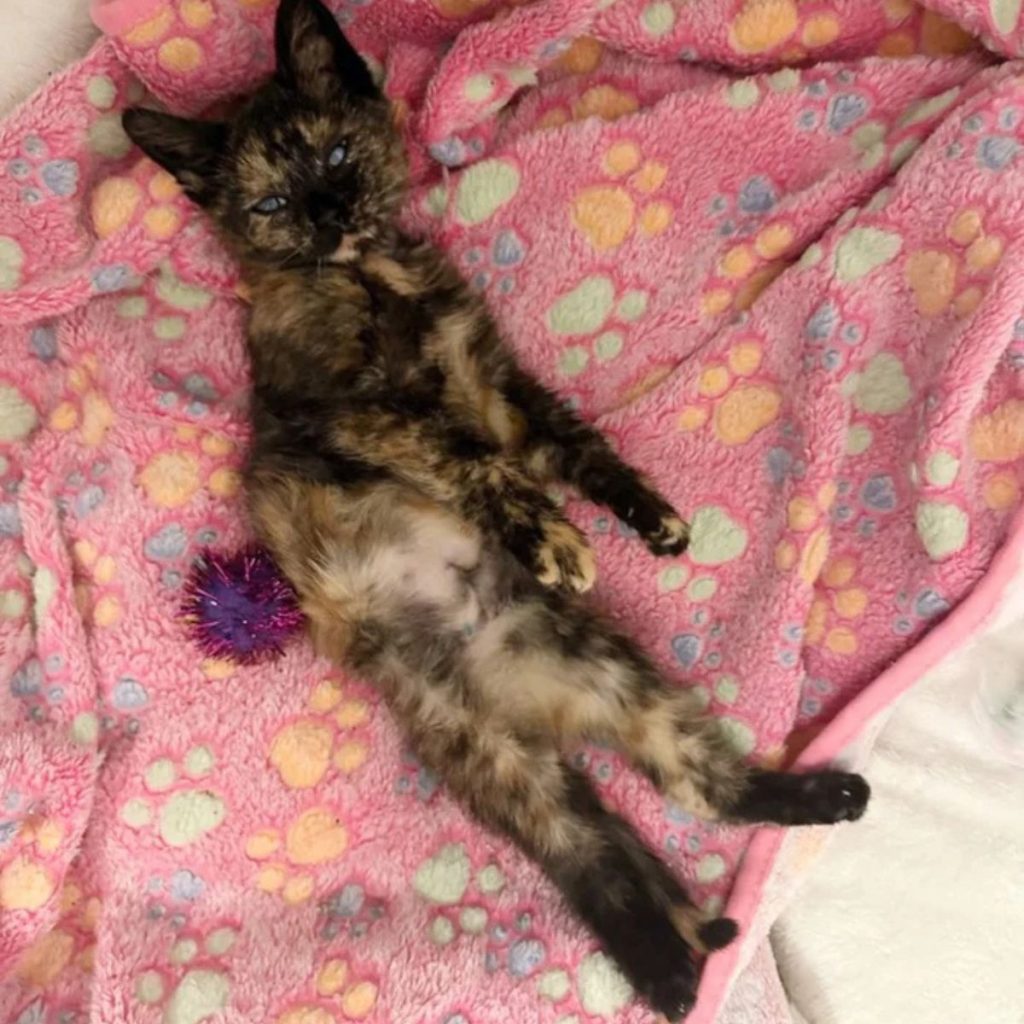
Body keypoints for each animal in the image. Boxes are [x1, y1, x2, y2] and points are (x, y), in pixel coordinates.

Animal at [123, 0, 868, 1015]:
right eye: (270, 207)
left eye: (334, 156)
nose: (327, 214)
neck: (374, 273)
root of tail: (521, 692)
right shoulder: (355, 409)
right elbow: (472, 461)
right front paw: (552, 540)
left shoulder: (501, 384)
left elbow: (578, 447)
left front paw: (651, 519)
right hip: (489, 755)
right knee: (586, 854)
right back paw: (672, 974)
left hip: (609, 676)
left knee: (695, 790)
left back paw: (817, 811)